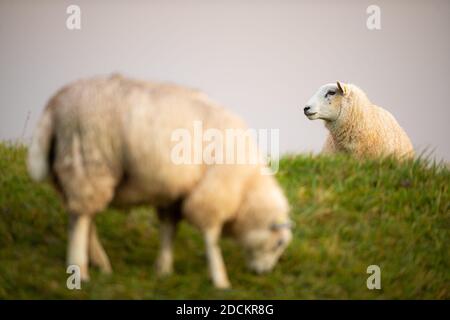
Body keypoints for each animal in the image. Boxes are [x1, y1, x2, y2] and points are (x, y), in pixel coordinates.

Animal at [29, 74, 296, 288]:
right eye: (279, 243)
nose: (262, 273)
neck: (246, 190)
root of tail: (55, 104)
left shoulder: (174, 194)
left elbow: (169, 229)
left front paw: (164, 270)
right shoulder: (211, 194)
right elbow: (211, 238)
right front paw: (220, 280)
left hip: (72, 171)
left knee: (82, 214)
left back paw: (100, 263)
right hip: (88, 160)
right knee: (80, 220)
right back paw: (81, 270)